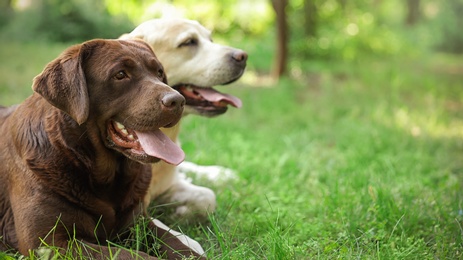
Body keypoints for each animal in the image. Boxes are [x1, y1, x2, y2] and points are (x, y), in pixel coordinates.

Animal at [0, 39, 205, 258]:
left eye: (159, 72)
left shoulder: (138, 223)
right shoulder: (50, 244)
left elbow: (177, 245)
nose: (178, 100)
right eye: (120, 74)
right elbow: (130, 254)